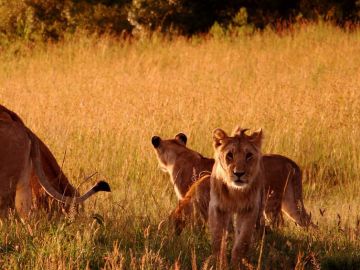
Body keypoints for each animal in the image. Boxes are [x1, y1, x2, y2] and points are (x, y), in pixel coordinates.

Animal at [208, 126, 264, 266]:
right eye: (229, 155)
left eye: (249, 155)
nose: (239, 173)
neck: (236, 192)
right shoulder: (217, 208)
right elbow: (218, 238)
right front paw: (220, 263)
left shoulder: (249, 209)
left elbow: (242, 241)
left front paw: (235, 264)